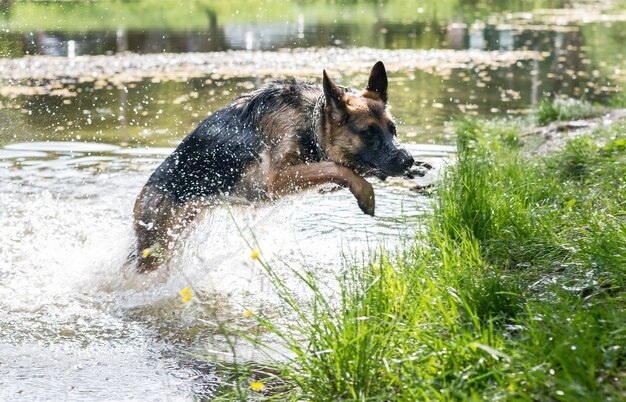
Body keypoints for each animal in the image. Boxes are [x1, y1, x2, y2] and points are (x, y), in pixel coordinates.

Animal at [132, 61, 414, 272]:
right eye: (368, 132)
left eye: (393, 129)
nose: (408, 160)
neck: (311, 119)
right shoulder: (275, 180)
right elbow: (336, 168)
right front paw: (366, 194)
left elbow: (337, 170)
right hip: (157, 248)